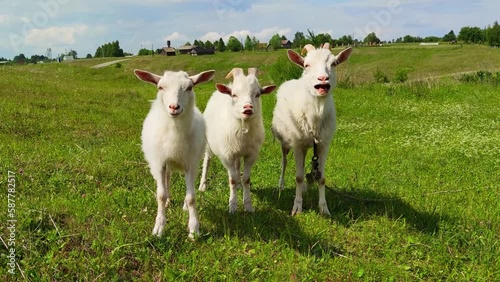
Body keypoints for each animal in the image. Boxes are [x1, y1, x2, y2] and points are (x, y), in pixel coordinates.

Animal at [135, 69, 215, 238]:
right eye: (160, 87)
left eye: (190, 87)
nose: (174, 107)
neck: (174, 129)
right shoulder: (159, 163)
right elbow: (161, 195)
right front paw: (159, 227)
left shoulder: (190, 164)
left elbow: (191, 197)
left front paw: (194, 228)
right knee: (167, 179)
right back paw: (168, 202)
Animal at [199, 68, 278, 213]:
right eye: (234, 95)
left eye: (258, 94)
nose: (248, 108)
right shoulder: (227, 156)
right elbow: (232, 180)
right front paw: (233, 206)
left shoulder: (251, 155)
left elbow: (246, 179)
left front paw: (248, 205)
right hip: (208, 144)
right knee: (207, 160)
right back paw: (203, 185)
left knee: (237, 166)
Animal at [272, 43, 354, 216]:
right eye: (306, 65)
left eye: (334, 63)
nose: (323, 79)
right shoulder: (296, 144)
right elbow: (298, 177)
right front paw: (297, 207)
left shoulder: (323, 144)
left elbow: (321, 178)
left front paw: (324, 208)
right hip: (285, 142)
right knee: (284, 162)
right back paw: (281, 185)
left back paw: (303, 188)